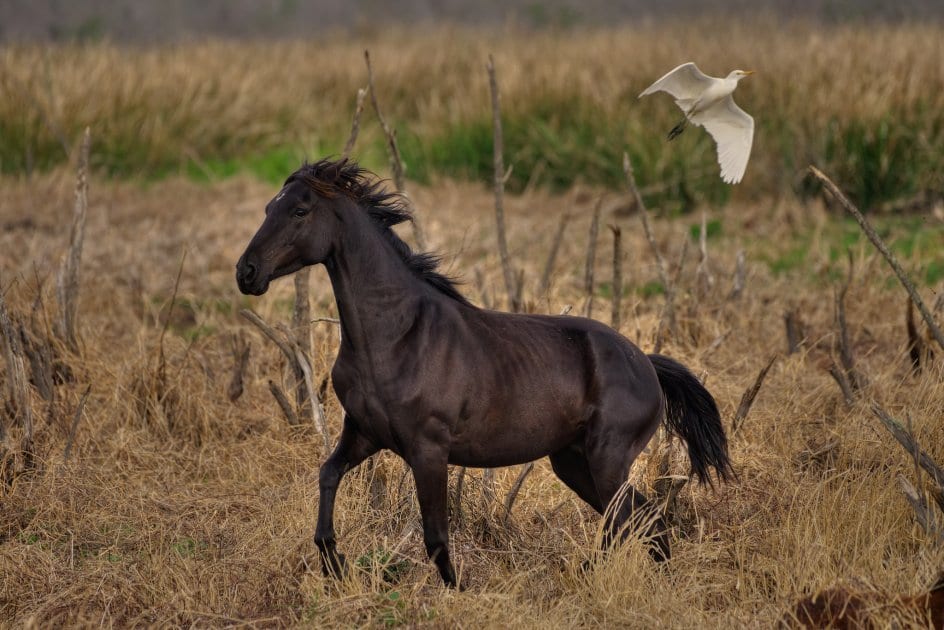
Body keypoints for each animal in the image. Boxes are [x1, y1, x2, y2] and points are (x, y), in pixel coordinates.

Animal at [234, 157, 732, 588]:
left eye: (300, 210)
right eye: (268, 208)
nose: (246, 272)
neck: (396, 335)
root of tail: (647, 362)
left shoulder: (428, 450)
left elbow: (436, 536)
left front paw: (457, 592)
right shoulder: (363, 433)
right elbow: (328, 476)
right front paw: (333, 564)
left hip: (607, 458)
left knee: (626, 520)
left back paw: (585, 577)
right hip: (573, 460)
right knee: (646, 521)